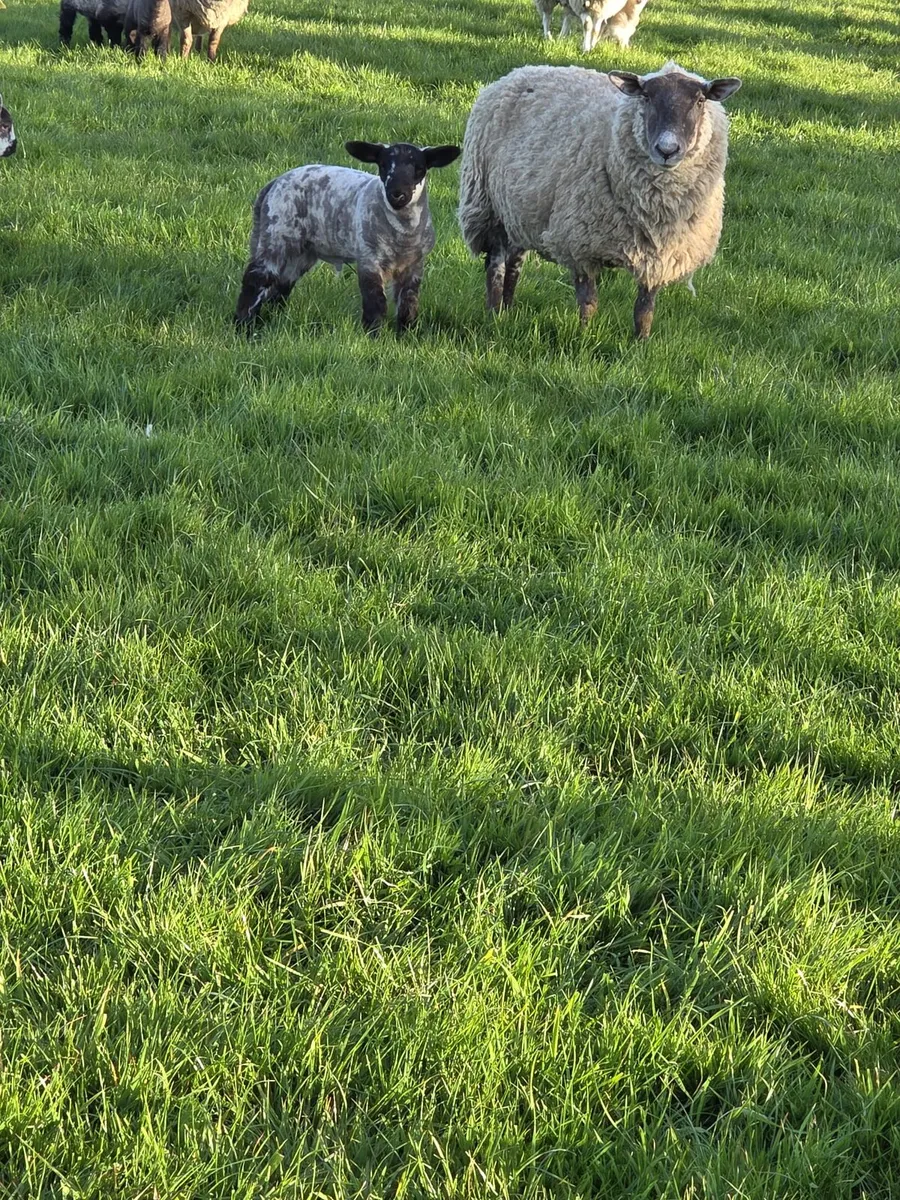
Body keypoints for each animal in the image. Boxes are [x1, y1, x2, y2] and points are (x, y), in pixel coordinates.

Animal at [235, 140, 461, 336]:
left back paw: (271, 319)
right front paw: (373, 335)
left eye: (419, 168)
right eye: (383, 165)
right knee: (256, 278)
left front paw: (406, 336)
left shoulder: (414, 265)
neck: (402, 235)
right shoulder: (369, 257)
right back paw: (244, 325)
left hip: (303, 251)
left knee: (281, 283)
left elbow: (409, 302)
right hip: (277, 234)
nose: (397, 194)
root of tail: (274, 183)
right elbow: (375, 300)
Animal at [457, 62, 741, 338]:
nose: (667, 150)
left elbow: (645, 309)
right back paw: (494, 314)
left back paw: (508, 309)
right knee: (496, 264)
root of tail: (519, 71)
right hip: (487, 205)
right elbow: (589, 302)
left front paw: (641, 343)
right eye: (646, 96)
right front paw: (585, 337)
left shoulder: (660, 255)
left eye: (700, 101)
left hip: (522, 210)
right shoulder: (580, 244)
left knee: (514, 263)